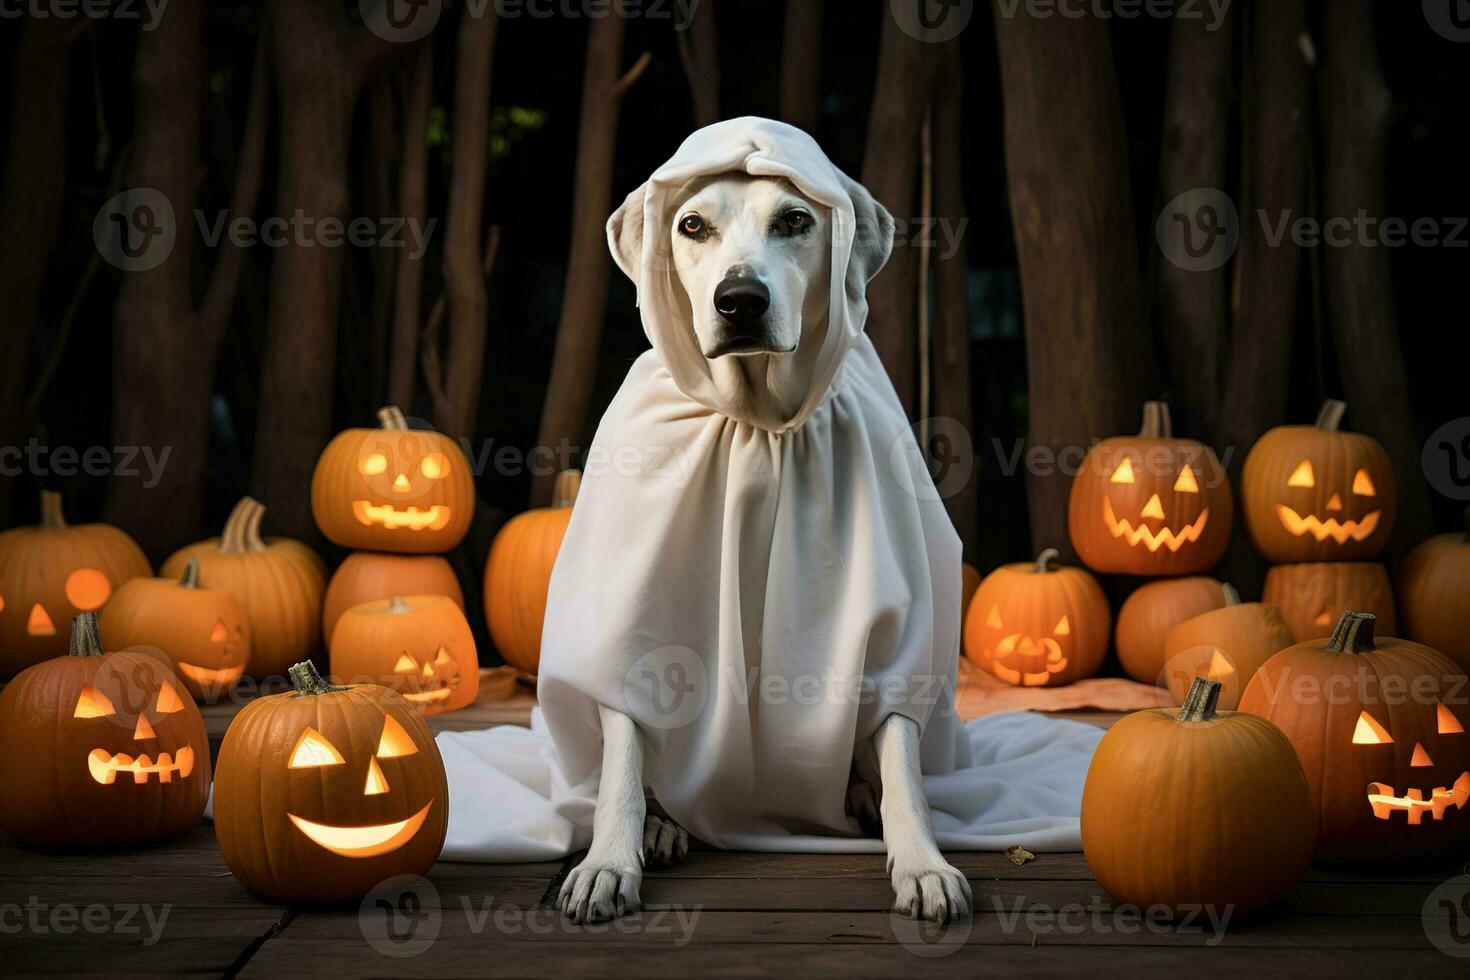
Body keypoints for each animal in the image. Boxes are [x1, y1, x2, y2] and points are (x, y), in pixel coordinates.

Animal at [552, 164, 976, 922]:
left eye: (794, 221)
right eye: (692, 225)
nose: (740, 301)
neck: (756, 420)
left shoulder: (893, 627)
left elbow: (901, 751)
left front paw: (923, 864)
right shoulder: (632, 609)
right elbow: (624, 749)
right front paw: (608, 860)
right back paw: (663, 825)